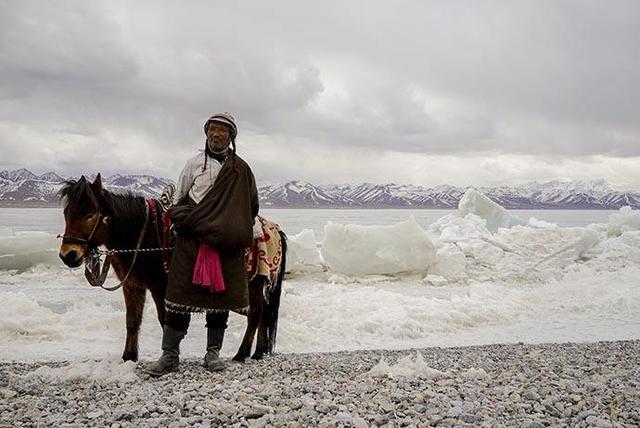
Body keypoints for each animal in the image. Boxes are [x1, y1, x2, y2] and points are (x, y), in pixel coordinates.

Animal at [57, 175, 288, 364]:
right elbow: (132, 321)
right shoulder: (132, 286)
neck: (143, 236)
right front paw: (129, 357)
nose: (68, 255)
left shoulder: (160, 287)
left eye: (89, 213)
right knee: (264, 315)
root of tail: (274, 229)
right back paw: (258, 352)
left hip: (255, 283)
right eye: (66, 212)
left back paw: (242, 354)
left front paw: (168, 356)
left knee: (256, 314)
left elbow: (164, 320)